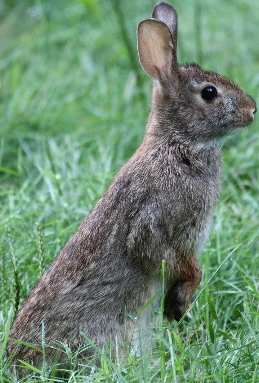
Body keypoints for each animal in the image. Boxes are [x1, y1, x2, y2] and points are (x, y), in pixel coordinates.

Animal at [7, 0, 256, 368]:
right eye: (209, 93)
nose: (252, 110)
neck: (177, 145)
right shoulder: (155, 222)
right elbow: (169, 257)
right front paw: (181, 302)